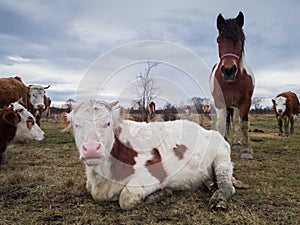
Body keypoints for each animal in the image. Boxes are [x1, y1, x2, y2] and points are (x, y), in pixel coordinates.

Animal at [63, 99, 236, 210]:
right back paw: (209, 183)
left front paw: (163, 193)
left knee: (227, 186)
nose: (92, 149)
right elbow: (89, 188)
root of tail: (207, 130)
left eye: (108, 123)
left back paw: (219, 199)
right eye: (76, 125)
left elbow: (126, 198)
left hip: (222, 158)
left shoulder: (153, 176)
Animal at [210, 12, 254, 159]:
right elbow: (221, 123)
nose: (228, 70)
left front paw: (246, 150)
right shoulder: (219, 102)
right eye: (218, 40)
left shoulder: (246, 102)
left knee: (235, 121)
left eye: (240, 40)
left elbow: (244, 124)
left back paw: (236, 143)